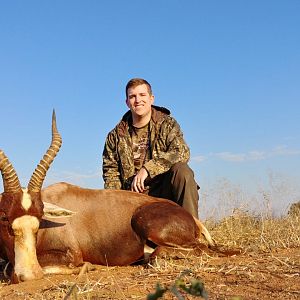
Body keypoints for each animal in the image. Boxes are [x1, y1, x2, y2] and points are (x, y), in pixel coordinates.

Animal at [1, 110, 214, 284]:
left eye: (39, 216)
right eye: (4, 217)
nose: (29, 275)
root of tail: (191, 217)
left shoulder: (71, 255)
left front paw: (89, 267)